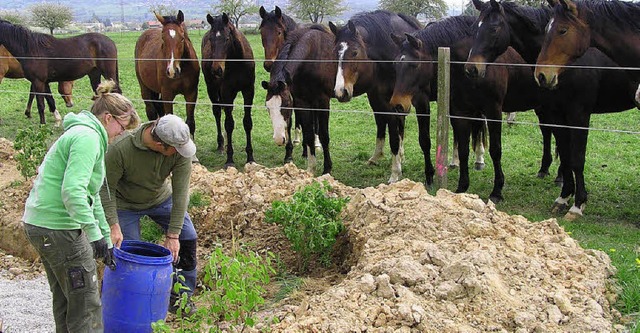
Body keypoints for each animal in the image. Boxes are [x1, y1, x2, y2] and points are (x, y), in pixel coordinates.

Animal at [204, 13, 256, 166]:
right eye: (211, 39)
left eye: (227, 39)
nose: (217, 70)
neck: (237, 62)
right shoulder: (227, 93)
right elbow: (229, 124)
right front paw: (229, 159)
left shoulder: (248, 91)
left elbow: (247, 122)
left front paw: (250, 157)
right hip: (212, 89)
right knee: (217, 113)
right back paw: (221, 145)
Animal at [262, 25, 338, 175]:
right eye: (267, 107)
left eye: (285, 104)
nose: (278, 139)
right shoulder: (300, 101)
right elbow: (306, 132)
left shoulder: (323, 102)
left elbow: (324, 135)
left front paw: (327, 168)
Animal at [330, 11, 430, 184]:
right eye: (336, 53)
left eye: (355, 52)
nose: (341, 91)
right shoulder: (385, 101)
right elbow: (392, 134)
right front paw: (396, 167)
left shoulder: (415, 102)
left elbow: (398, 136)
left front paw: (395, 173)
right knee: (384, 123)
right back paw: (379, 156)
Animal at [390, 15, 544, 201]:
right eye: (395, 65)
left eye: (414, 65)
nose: (397, 104)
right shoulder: (459, 111)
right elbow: (462, 148)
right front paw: (461, 186)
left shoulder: (493, 111)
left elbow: (495, 150)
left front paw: (497, 191)